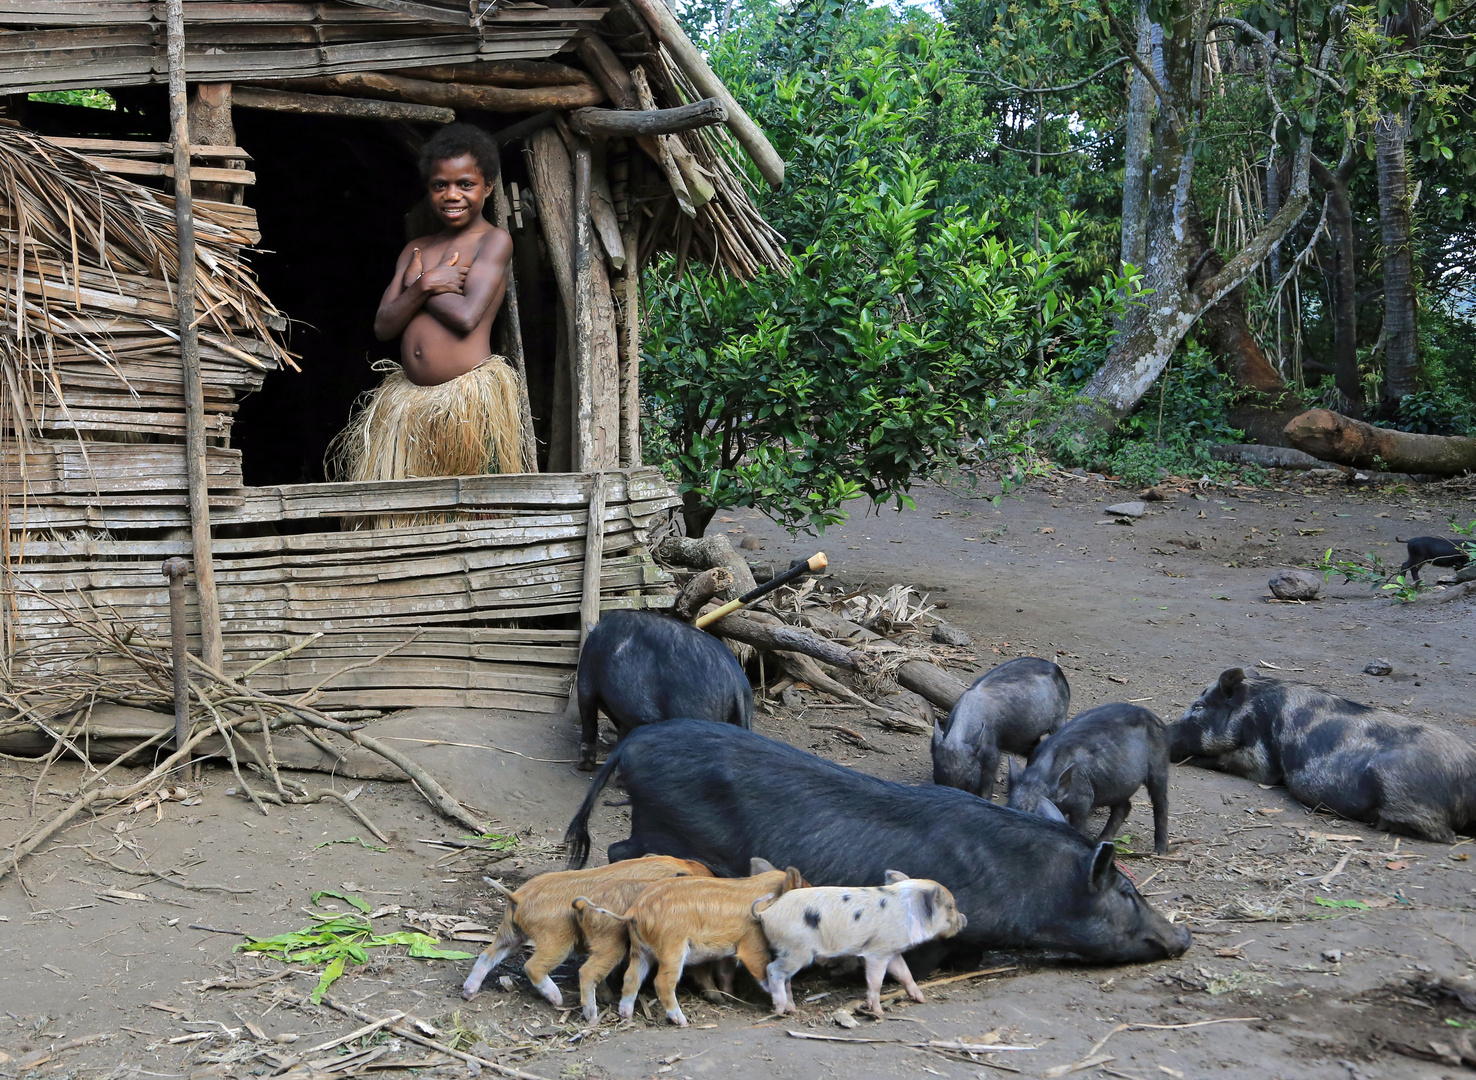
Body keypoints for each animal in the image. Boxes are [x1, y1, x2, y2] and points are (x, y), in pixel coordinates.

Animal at [932, 655, 1074, 796]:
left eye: (969, 781)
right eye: (936, 779)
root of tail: (1057, 668)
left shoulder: (993, 753)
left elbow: (987, 782)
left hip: (1059, 719)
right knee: (1034, 747)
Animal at [1009, 705, 1168, 855]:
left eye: (1037, 813)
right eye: (1009, 807)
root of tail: (1154, 717)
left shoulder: (1083, 800)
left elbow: (1078, 823)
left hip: (1159, 765)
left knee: (1160, 803)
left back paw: (1159, 851)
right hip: (1118, 785)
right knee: (1124, 807)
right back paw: (1101, 840)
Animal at [1174, 666, 1476, 843]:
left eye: (1198, 707)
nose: (1166, 730)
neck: (1252, 707)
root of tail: (1467, 774)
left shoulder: (1262, 759)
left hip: (1397, 781)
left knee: (1443, 834)